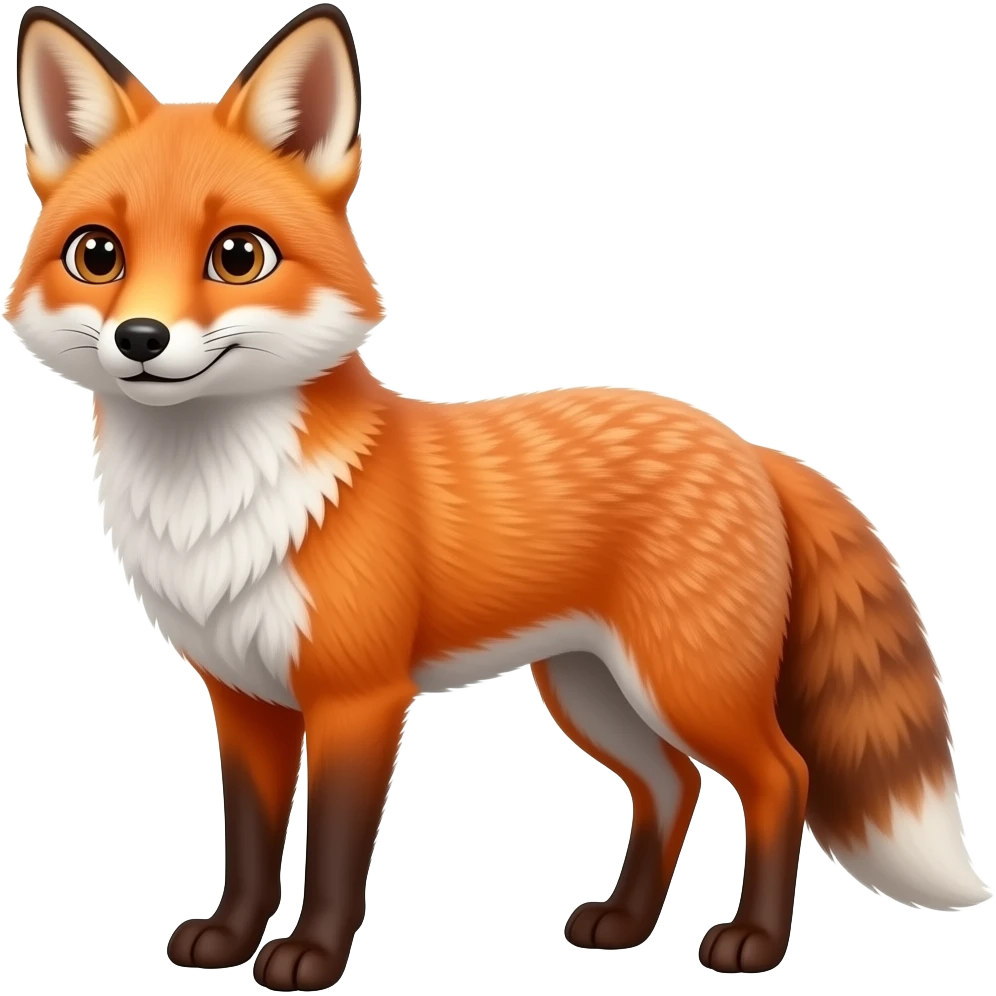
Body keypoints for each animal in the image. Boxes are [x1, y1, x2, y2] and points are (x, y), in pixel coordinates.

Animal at [6, 4, 992, 990]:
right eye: (98, 255)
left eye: (238, 256)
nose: (141, 338)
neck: (215, 501)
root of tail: (748, 445)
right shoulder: (244, 698)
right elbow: (249, 842)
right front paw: (228, 936)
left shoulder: (359, 698)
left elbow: (334, 850)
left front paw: (312, 956)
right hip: (593, 689)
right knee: (671, 784)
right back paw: (625, 923)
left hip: (687, 682)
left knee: (782, 777)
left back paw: (753, 941)